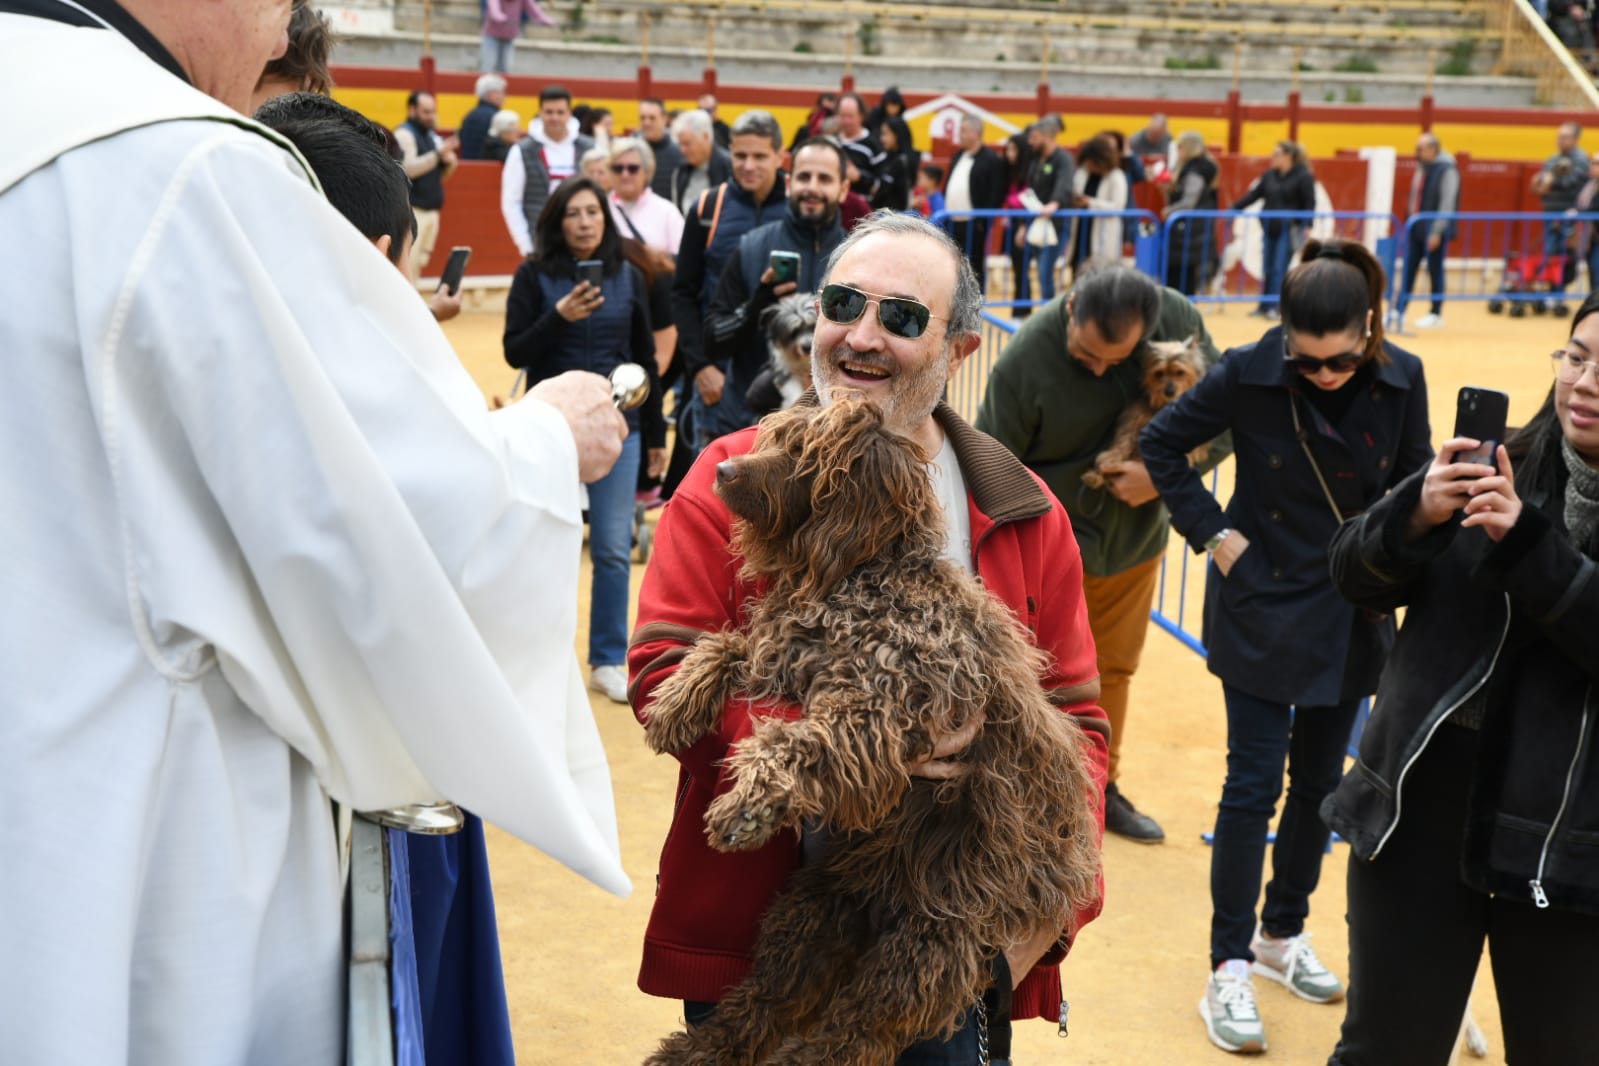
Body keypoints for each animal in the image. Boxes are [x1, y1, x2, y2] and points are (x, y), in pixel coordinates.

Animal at [636, 399, 1100, 1066]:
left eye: (805, 454)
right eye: (773, 437)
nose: (720, 470)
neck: (868, 573)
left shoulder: (876, 711)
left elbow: (790, 742)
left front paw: (747, 807)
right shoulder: (788, 659)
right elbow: (726, 646)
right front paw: (676, 701)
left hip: (933, 941)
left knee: (856, 1032)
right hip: (815, 911)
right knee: (760, 1005)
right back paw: (694, 1051)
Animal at [1080, 334, 1202, 492]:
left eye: (1180, 372)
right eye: (1158, 373)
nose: (1169, 391)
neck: (1162, 405)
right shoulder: (1134, 418)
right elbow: (1124, 439)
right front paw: (1111, 457)